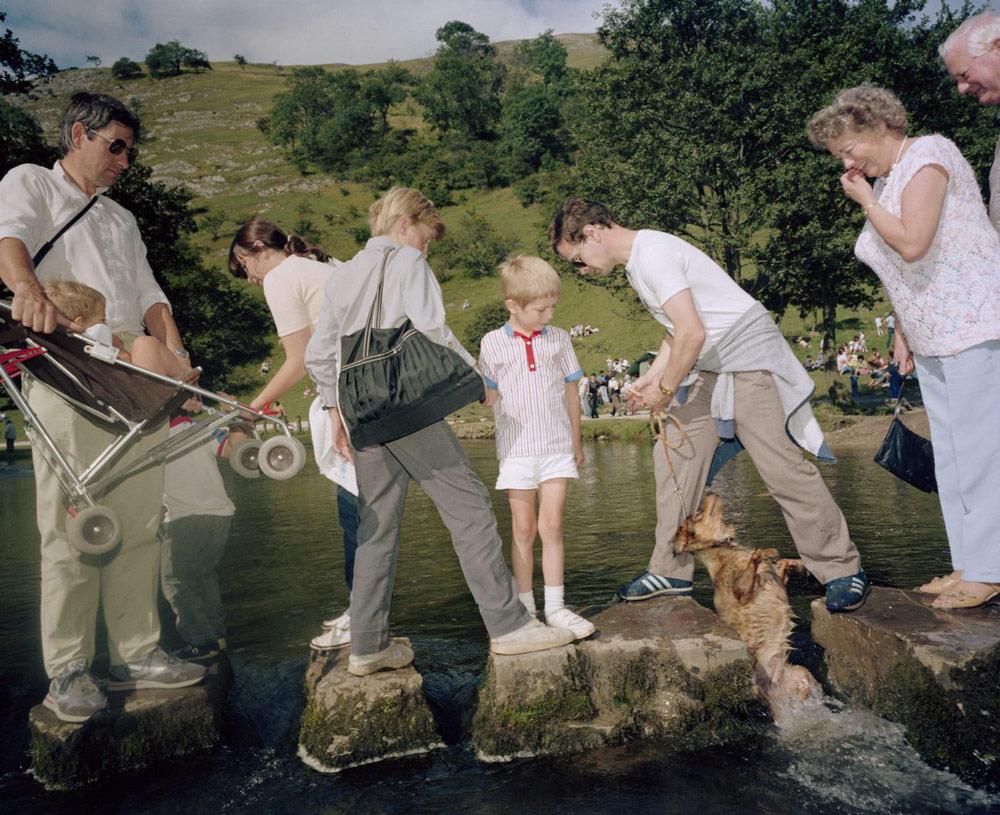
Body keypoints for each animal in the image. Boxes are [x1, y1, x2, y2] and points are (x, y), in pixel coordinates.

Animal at [672, 490, 820, 708]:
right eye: (697, 514)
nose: (710, 491)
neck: (725, 551)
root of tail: (772, 689)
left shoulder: (777, 579)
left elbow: (782, 563)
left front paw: (800, 563)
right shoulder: (741, 594)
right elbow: (757, 557)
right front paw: (767, 552)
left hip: (801, 674)